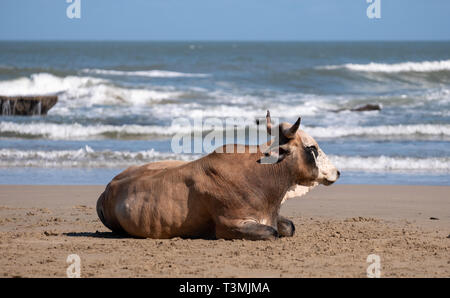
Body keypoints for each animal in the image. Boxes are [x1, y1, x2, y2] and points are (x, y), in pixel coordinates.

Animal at [96, 112, 340, 240]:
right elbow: (272, 232)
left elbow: (288, 227)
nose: (337, 172)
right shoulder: (228, 225)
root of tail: (107, 189)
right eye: (311, 148)